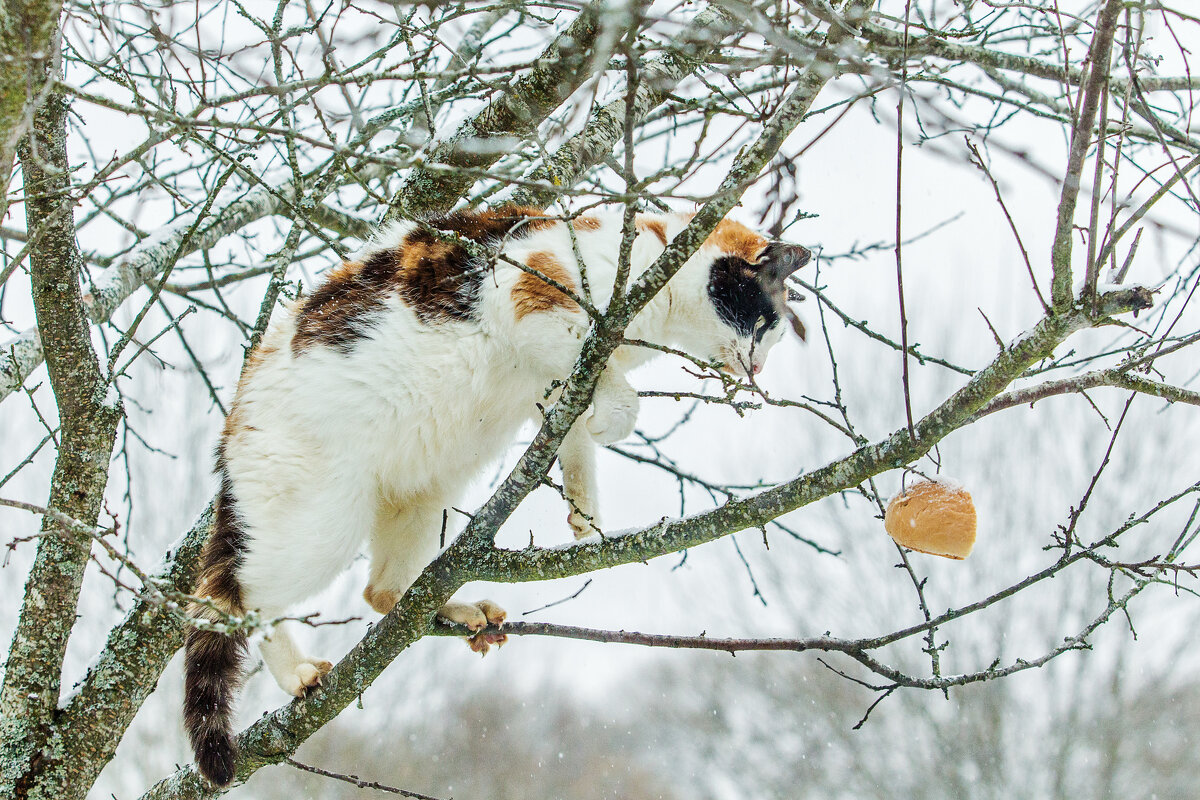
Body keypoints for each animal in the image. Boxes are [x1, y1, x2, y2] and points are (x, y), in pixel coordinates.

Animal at [182, 203, 811, 786]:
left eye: (775, 335)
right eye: (763, 324)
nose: (758, 369)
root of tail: (232, 425)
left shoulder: (561, 379)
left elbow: (576, 436)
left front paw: (584, 514)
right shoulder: (537, 296)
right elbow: (621, 404)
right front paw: (611, 424)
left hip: (424, 491)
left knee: (382, 591)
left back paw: (451, 608)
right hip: (318, 520)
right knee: (235, 598)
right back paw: (296, 672)